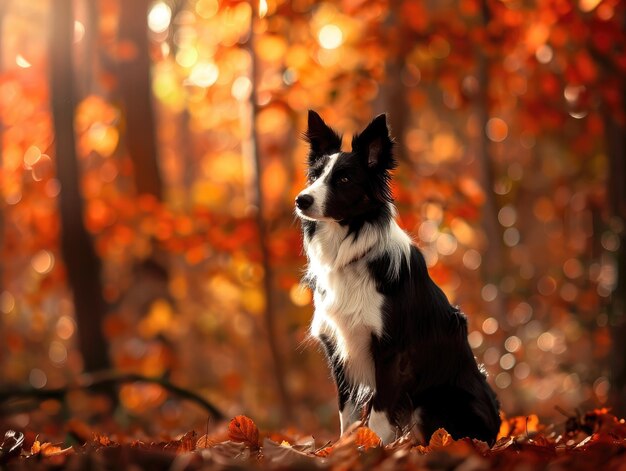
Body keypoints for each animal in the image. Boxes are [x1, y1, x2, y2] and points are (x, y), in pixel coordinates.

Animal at [294, 110, 500, 446]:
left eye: (344, 179)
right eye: (314, 176)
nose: (301, 200)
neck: (350, 252)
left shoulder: (391, 350)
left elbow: (378, 414)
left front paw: (378, 449)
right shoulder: (338, 346)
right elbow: (347, 414)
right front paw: (347, 448)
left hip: (435, 402)